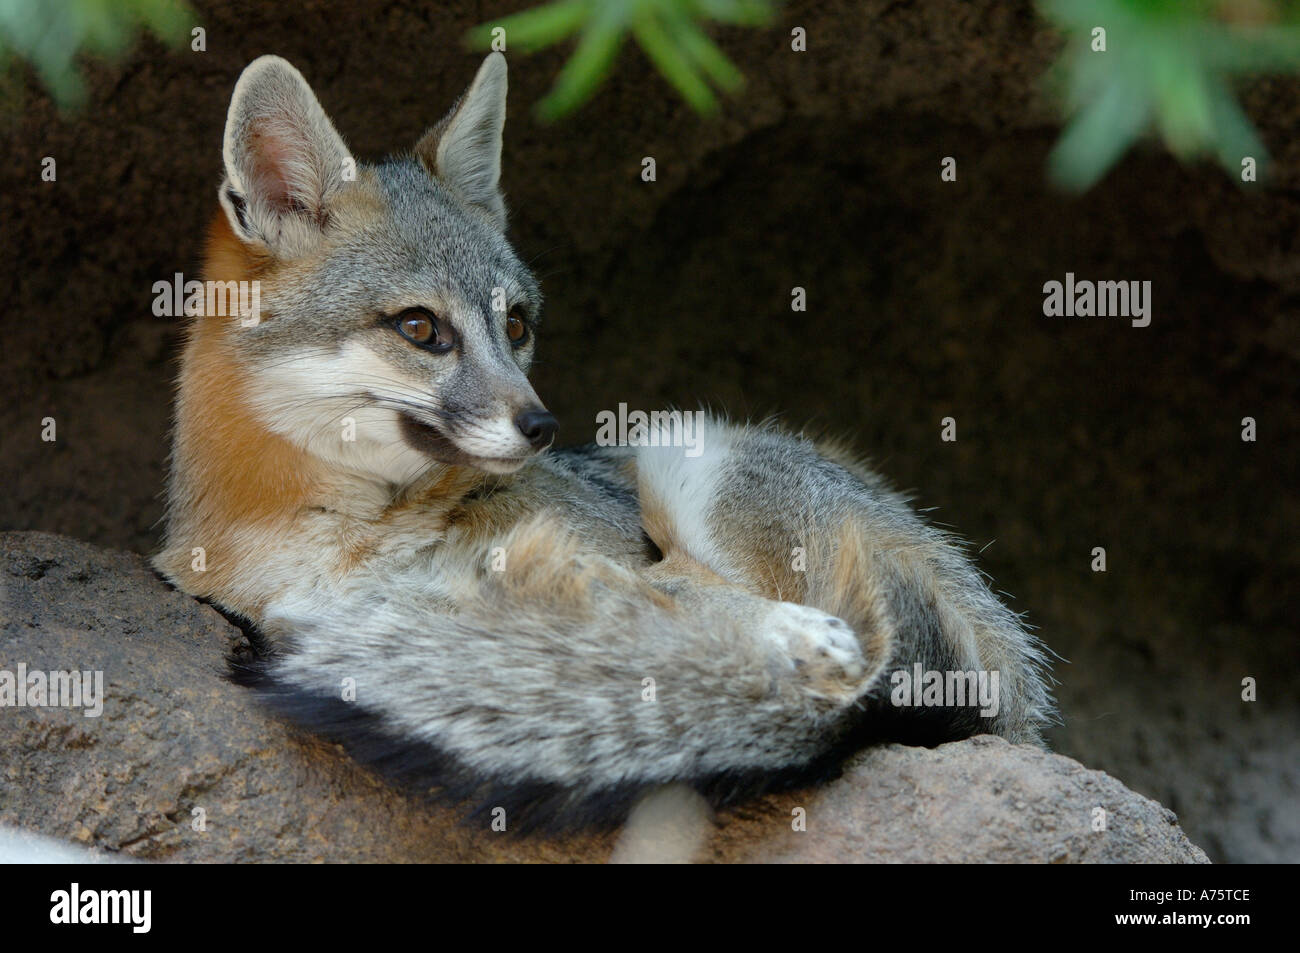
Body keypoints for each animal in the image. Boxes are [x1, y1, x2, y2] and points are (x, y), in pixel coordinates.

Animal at [154, 50, 1055, 826]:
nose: (543, 425)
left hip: (687, 450)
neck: (350, 539)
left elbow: (688, 605)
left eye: (516, 325)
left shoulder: (620, 555)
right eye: (420, 328)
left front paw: (785, 639)